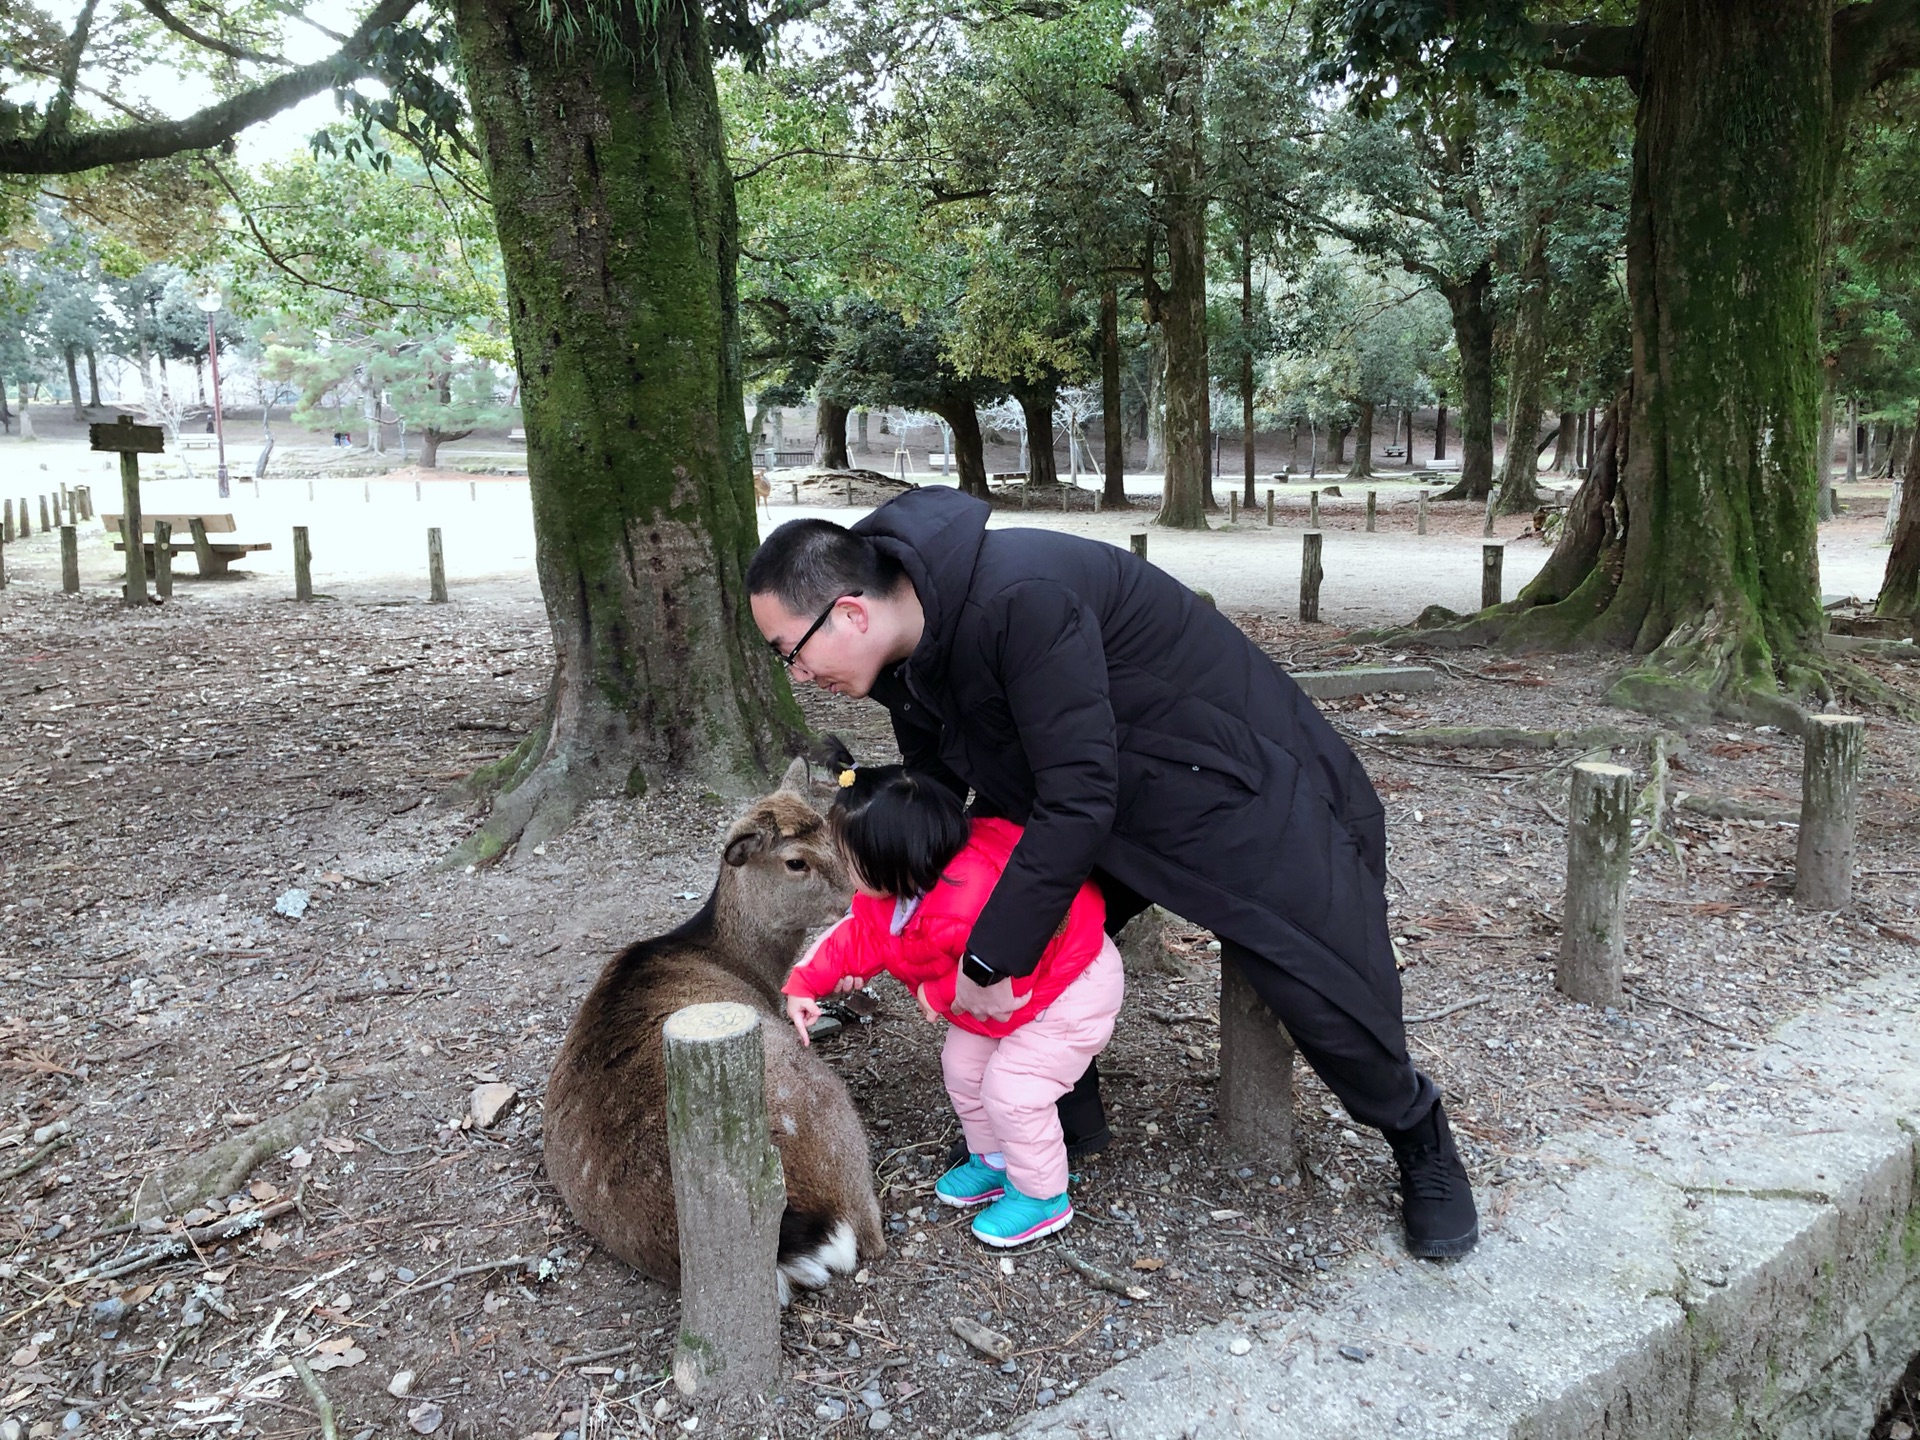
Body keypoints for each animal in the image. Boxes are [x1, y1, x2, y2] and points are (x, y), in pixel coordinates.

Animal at [533, 760, 879, 1305]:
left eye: (829, 833)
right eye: (795, 862)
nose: (856, 896)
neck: (742, 963)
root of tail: (790, 1233)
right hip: (824, 1109)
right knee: (871, 1231)